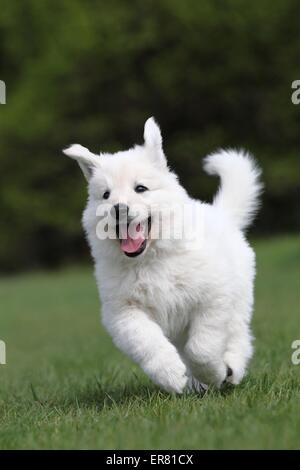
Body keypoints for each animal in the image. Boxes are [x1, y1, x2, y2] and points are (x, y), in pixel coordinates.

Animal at [63, 117, 262, 392]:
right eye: (106, 195)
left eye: (140, 188)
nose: (118, 209)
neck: (150, 260)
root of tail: (221, 214)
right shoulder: (124, 312)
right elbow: (147, 342)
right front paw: (171, 375)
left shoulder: (212, 298)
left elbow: (202, 347)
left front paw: (213, 374)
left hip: (239, 297)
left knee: (238, 335)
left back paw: (231, 369)